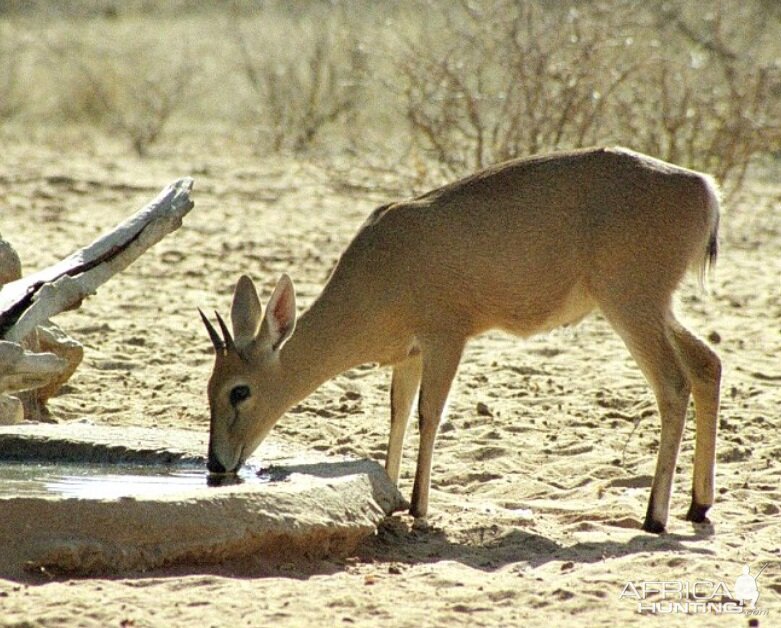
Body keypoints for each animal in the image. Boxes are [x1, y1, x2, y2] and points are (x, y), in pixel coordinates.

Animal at [200, 145, 720, 532]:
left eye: (239, 391)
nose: (216, 463)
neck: (382, 264)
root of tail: (703, 186)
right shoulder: (408, 354)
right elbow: (398, 414)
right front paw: (389, 491)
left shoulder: (445, 338)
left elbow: (429, 414)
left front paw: (418, 506)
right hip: (655, 309)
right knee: (708, 364)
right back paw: (698, 506)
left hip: (631, 307)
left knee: (673, 384)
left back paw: (655, 518)